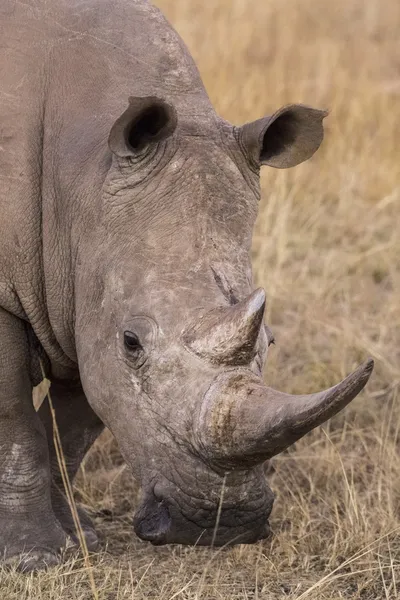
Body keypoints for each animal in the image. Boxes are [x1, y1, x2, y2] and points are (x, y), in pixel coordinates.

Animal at [0, 0, 376, 572]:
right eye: (133, 343)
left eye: (271, 341)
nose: (221, 526)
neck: (82, 175)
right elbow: (17, 423)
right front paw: (34, 558)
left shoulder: (85, 292)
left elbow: (73, 426)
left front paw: (81, 538)